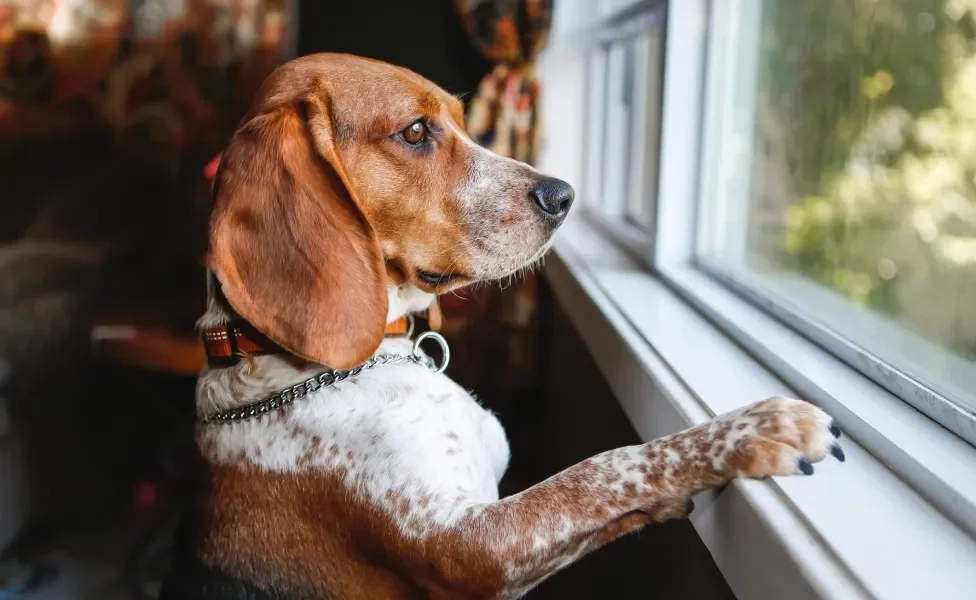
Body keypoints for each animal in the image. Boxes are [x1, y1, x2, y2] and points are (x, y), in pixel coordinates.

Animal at [158, 54, 840, 596]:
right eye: (415, 132)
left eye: (461, 121)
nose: (563, 196)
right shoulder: (473, 549)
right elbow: (598, 472)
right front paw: (753, 429)